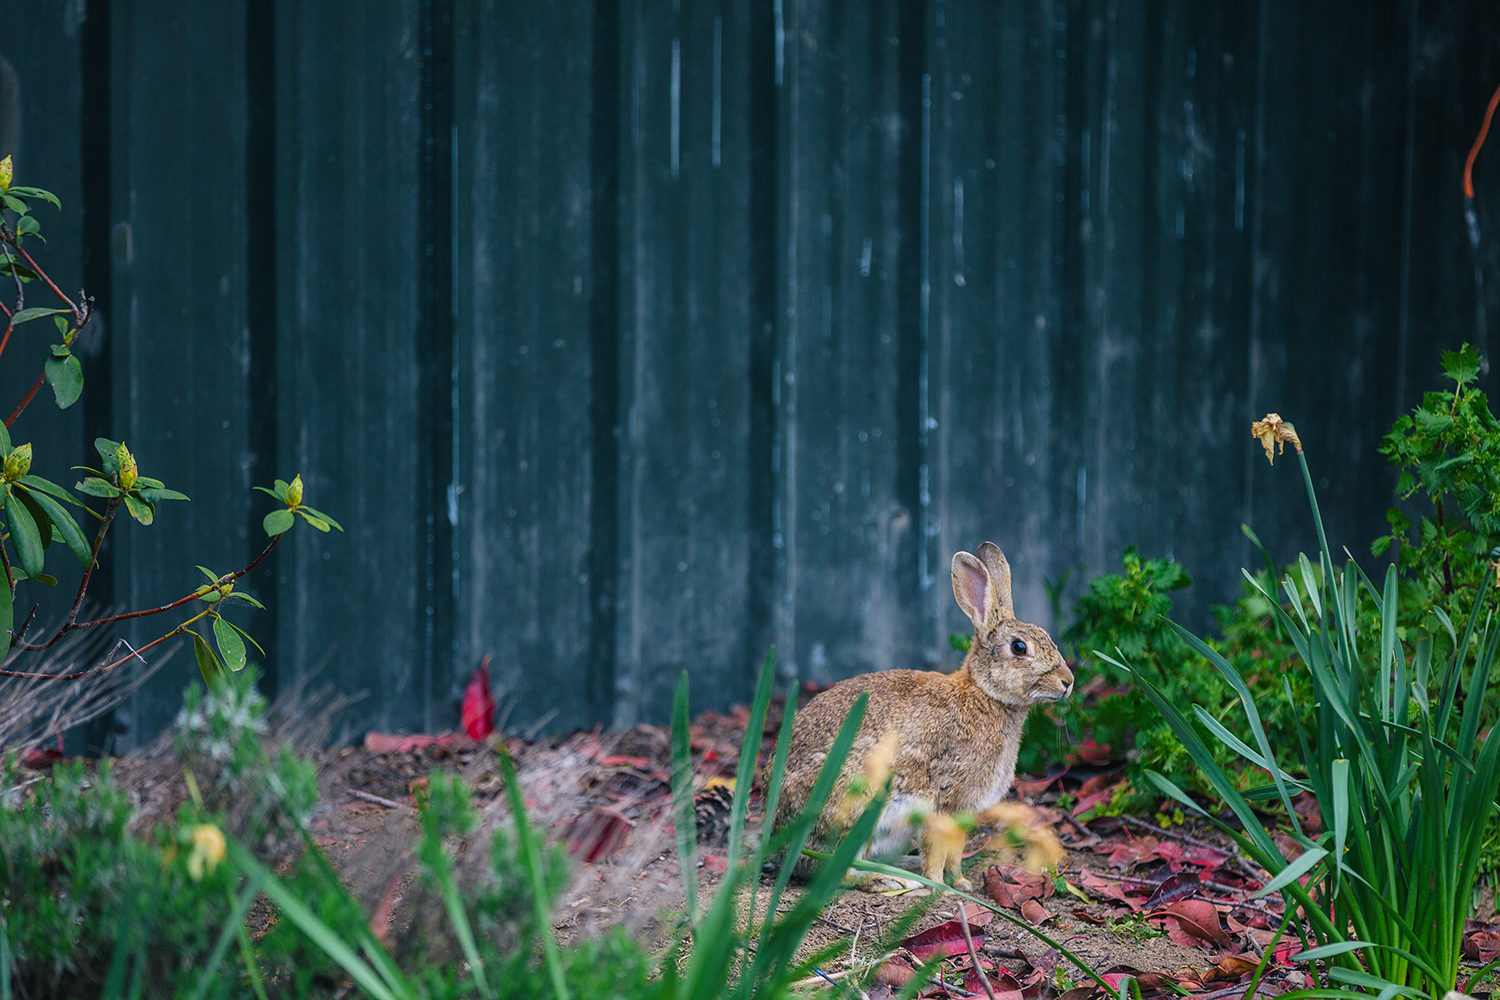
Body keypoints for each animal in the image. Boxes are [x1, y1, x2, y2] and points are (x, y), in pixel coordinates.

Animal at [768, 542, 1074, 887]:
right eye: (1019, 648)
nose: (1068, 682)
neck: (984, 693)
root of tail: (779, 846)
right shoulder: (942, 799)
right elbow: (937, 849)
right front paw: (939, 885)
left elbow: (955, 851)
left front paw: (960, 882)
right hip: (852, 801)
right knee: (835, 871)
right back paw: (895, 881)